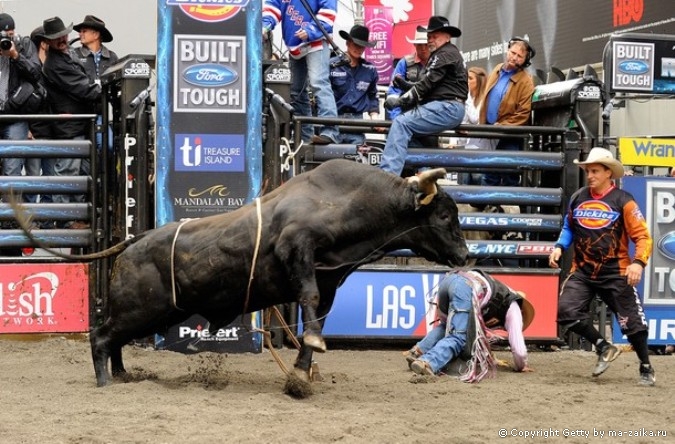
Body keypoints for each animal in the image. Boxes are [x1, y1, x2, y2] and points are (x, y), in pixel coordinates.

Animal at [15, 159, 468, 386]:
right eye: (445, 215)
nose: (464, 254)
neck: (349, 203)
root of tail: (135, 240)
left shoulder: (328, 279)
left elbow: (316, 317)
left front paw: (302, 372)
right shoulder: (296, 247)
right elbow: (308, 302)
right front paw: (309, 358)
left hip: (146, 312)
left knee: (114, 340)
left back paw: (125, 375)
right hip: (140, 308)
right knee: (100, 335)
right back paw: (105, 382)